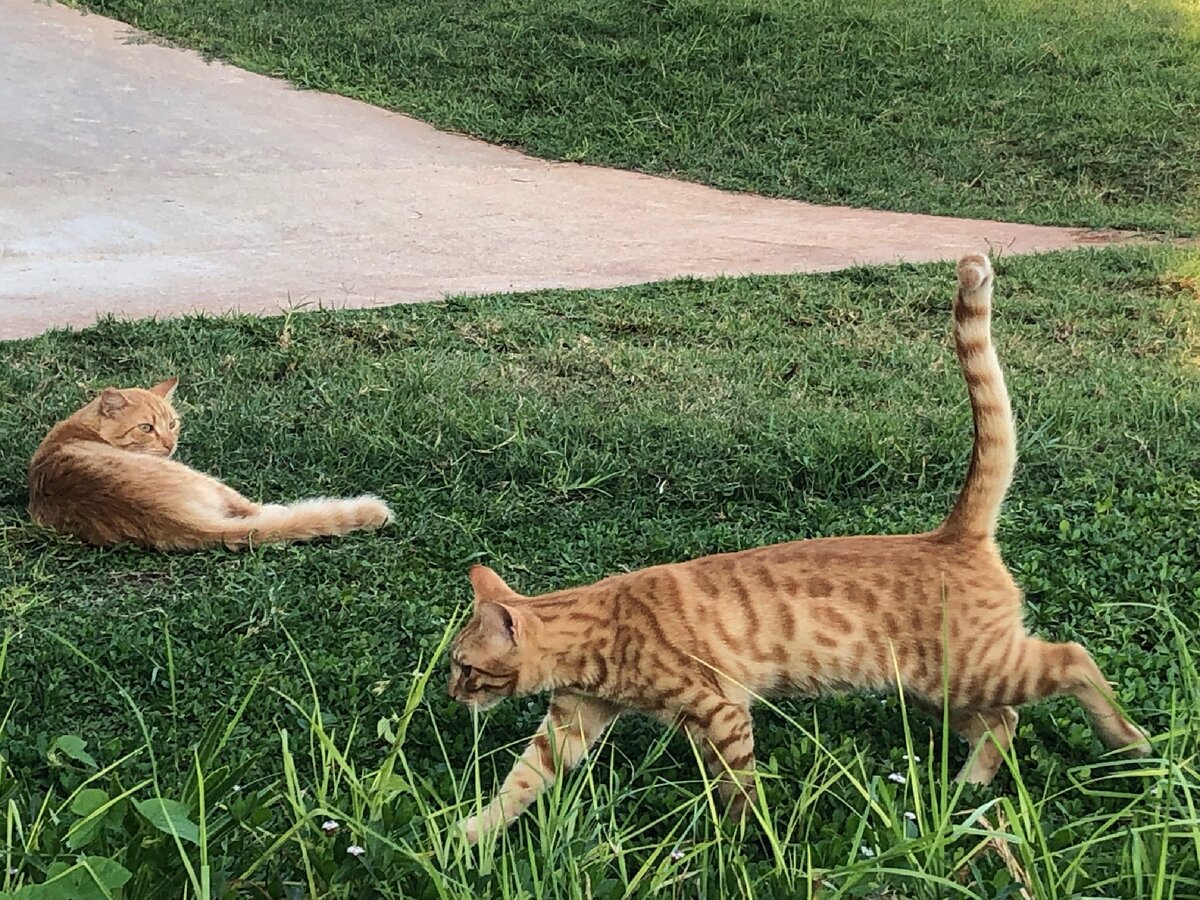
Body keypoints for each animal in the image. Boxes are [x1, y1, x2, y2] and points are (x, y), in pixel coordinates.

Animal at [28, 379, 391, 554]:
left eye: (172, 424)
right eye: (146, 428)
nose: (169, 445)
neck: (81, 428)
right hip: (208, 480)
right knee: (255, 510)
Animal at [451, 254, 1152, 844]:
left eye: (464, 667)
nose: (452, 697)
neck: (599, 628)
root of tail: (952, 533)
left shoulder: (720, 712)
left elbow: (738, 790)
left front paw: (739, 846)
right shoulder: (570, 723)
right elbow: (518, 785)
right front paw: (465, 839)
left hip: (978, 668)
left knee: (1073, 659)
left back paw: (1129, 742)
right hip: (940, 690)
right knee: (1004, 721)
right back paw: (966, 791)